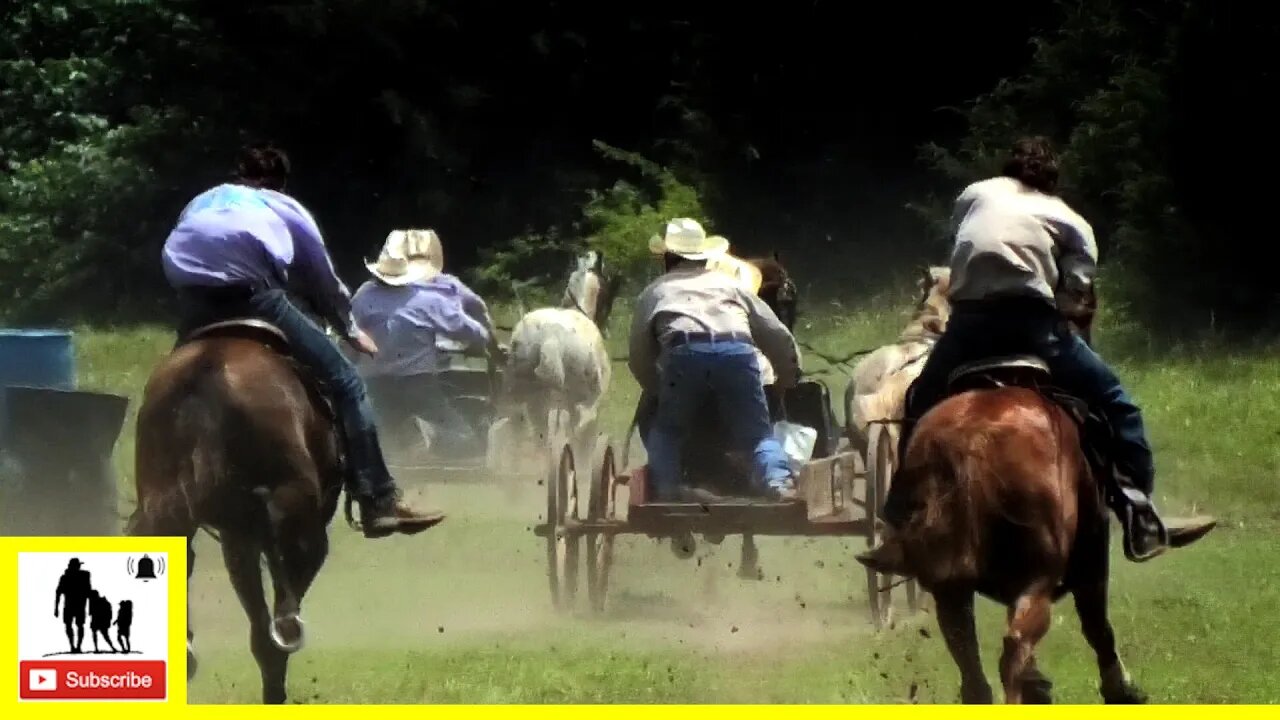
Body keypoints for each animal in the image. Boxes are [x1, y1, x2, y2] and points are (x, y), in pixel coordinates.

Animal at [488, 252, 619, 461]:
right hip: (559, 404)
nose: (608, 329)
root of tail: (546, 339)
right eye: (607, 287)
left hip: (520, 399)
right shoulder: (587, 408)